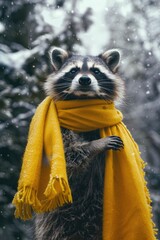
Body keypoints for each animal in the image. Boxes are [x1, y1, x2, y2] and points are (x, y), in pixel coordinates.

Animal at [34, 47, 125, 240]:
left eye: (96, 71)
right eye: (73, 70)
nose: (84, 80)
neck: (84, 102)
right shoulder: (60, 131)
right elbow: (68, 155)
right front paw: (97, 145)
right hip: (55, 216)